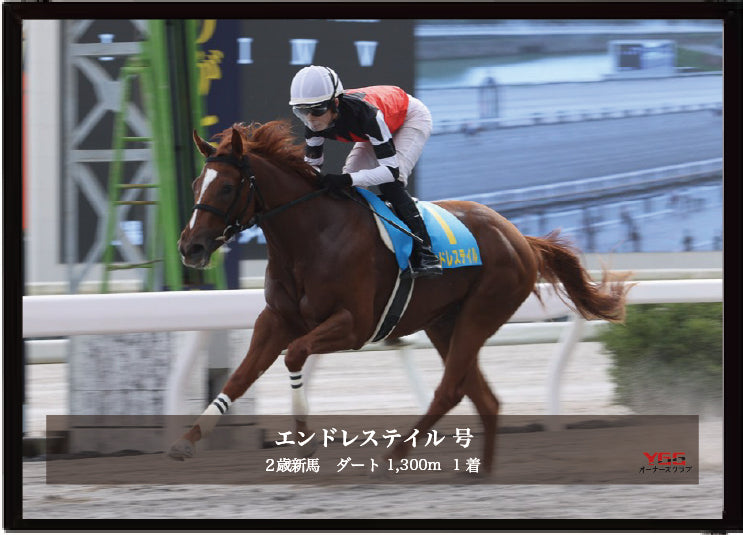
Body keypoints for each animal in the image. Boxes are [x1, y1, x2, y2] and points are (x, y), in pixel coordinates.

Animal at [169, 120, 630, 472]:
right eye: (195, 183)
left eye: (227, 188)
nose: (190, 247)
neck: (311, 237)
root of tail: (520, 237)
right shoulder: (276, 319)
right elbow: (239, 377)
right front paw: (187, 440)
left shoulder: (354, 325)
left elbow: (295, 355)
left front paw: (305, 440)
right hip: (444, 323)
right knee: (484, 398)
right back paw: (478, 475)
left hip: (480, 313)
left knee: (451, 390)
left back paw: (393, 455)